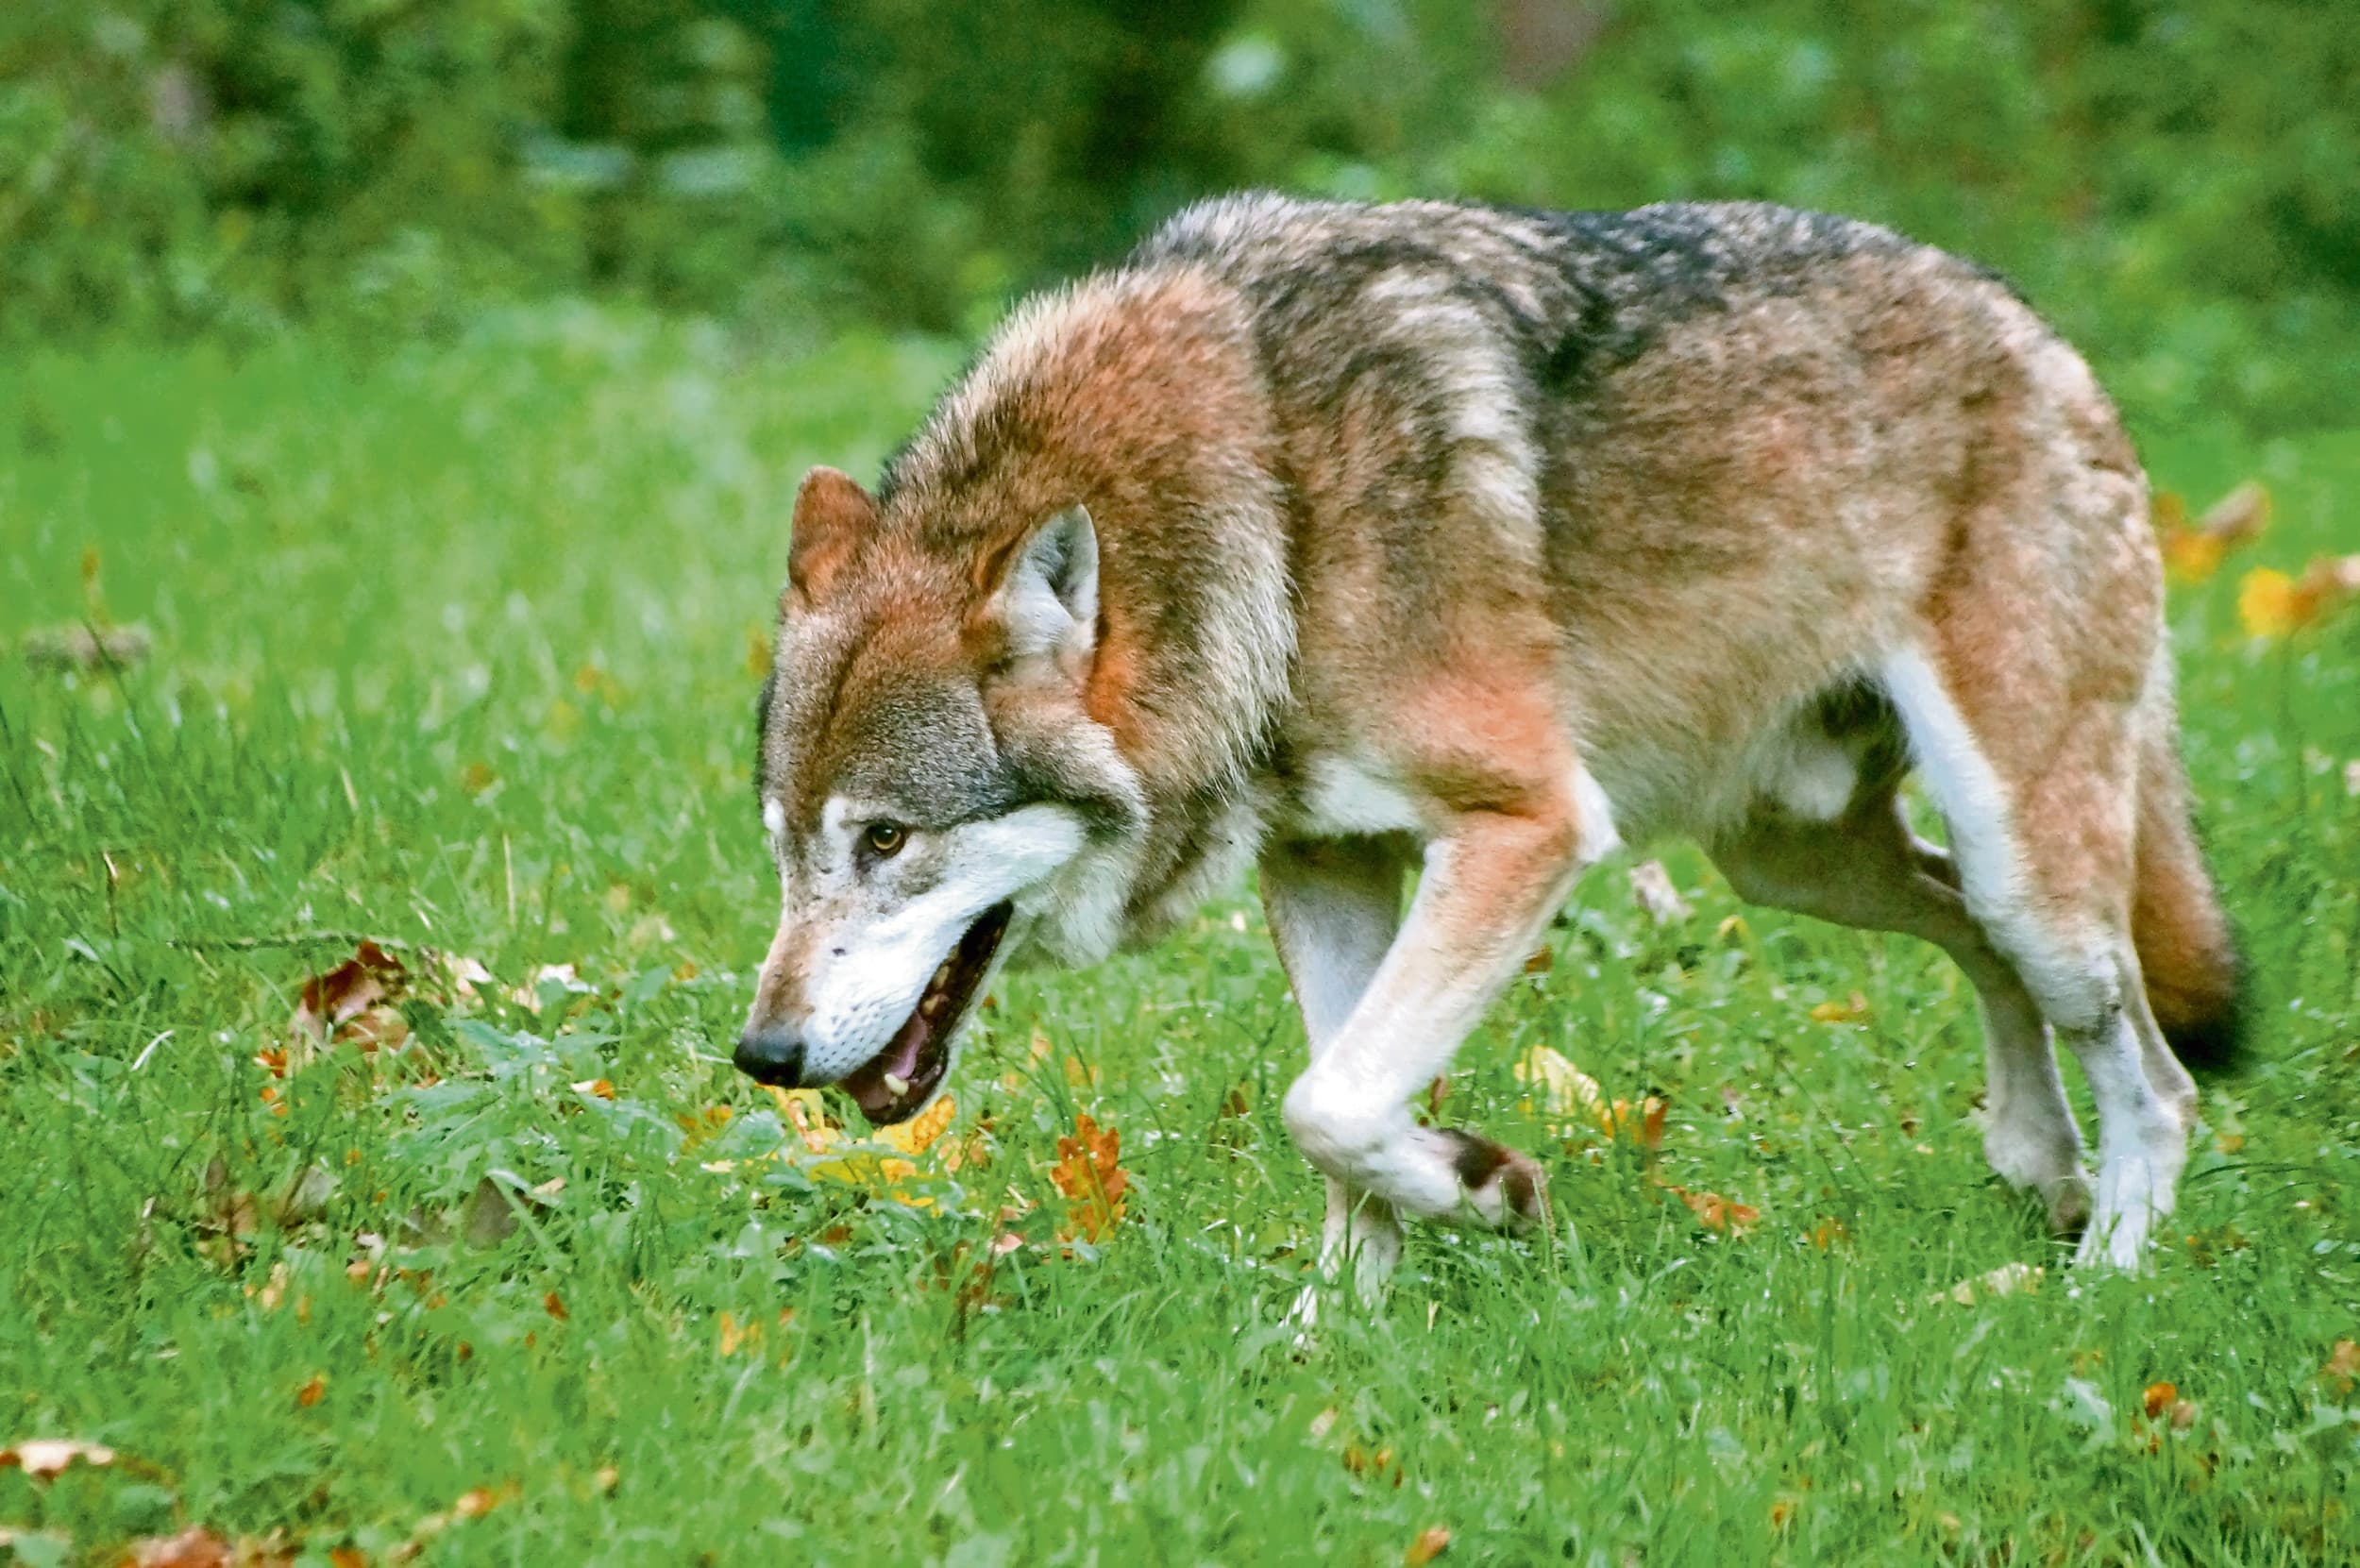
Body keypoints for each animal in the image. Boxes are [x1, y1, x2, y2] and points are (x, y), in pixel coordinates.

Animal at [737, 192, 2240, 1292]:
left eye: (887, 838)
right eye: (783, 848)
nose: (760, 1057)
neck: (1272, 516)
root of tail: (2044, 336)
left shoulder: (1528, 824)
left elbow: (1330, 1103)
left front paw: (1486, 1187)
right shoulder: (1327, 862)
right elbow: (1338, 1117)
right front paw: (1332, 1332)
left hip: (2018, 860)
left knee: (2157, 1078)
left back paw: (2104, 1279)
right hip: (1799, 861)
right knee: (1977, 942)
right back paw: (2039, 1164)